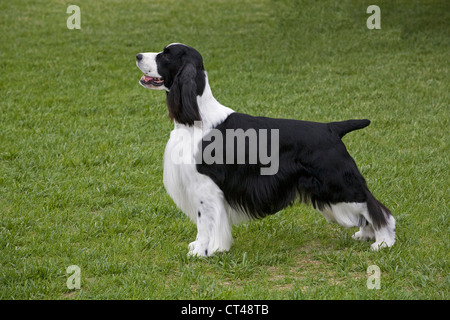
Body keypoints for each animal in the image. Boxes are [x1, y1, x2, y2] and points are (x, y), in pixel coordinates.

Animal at [135, 43, 396, 258]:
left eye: (165, 55)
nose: (137, 55)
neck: (196, 119)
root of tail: (332, 128)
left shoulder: (204, 187)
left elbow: (204, 222)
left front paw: (203, 251)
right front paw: (200, 247)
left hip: (337, 182)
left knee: (375, 207)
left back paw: (383, 242)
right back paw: (365, 235)